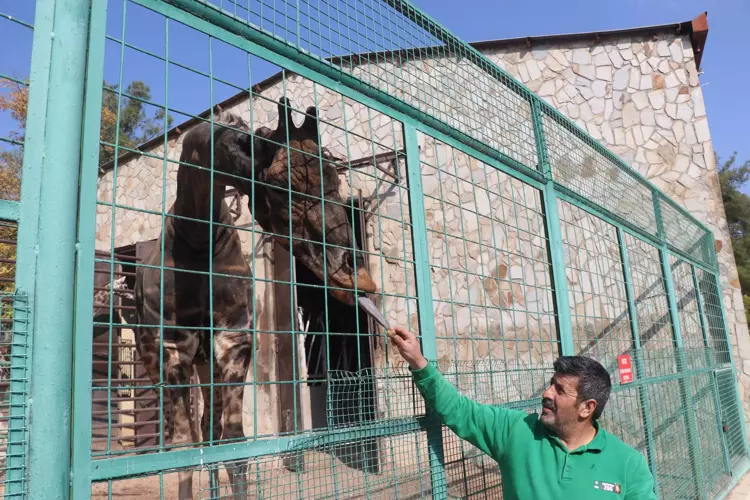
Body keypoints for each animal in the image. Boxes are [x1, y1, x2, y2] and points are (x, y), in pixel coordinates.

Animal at [134, 98, 376, 500]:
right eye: (280, 186)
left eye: (336, 179)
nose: (358, 276)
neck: (197, 239)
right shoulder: (174, 346)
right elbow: (185, 448)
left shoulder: (234, 339)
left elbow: (233, 443)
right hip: (157, 360)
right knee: (191, 434)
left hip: (207, 363)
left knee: (210, 428)